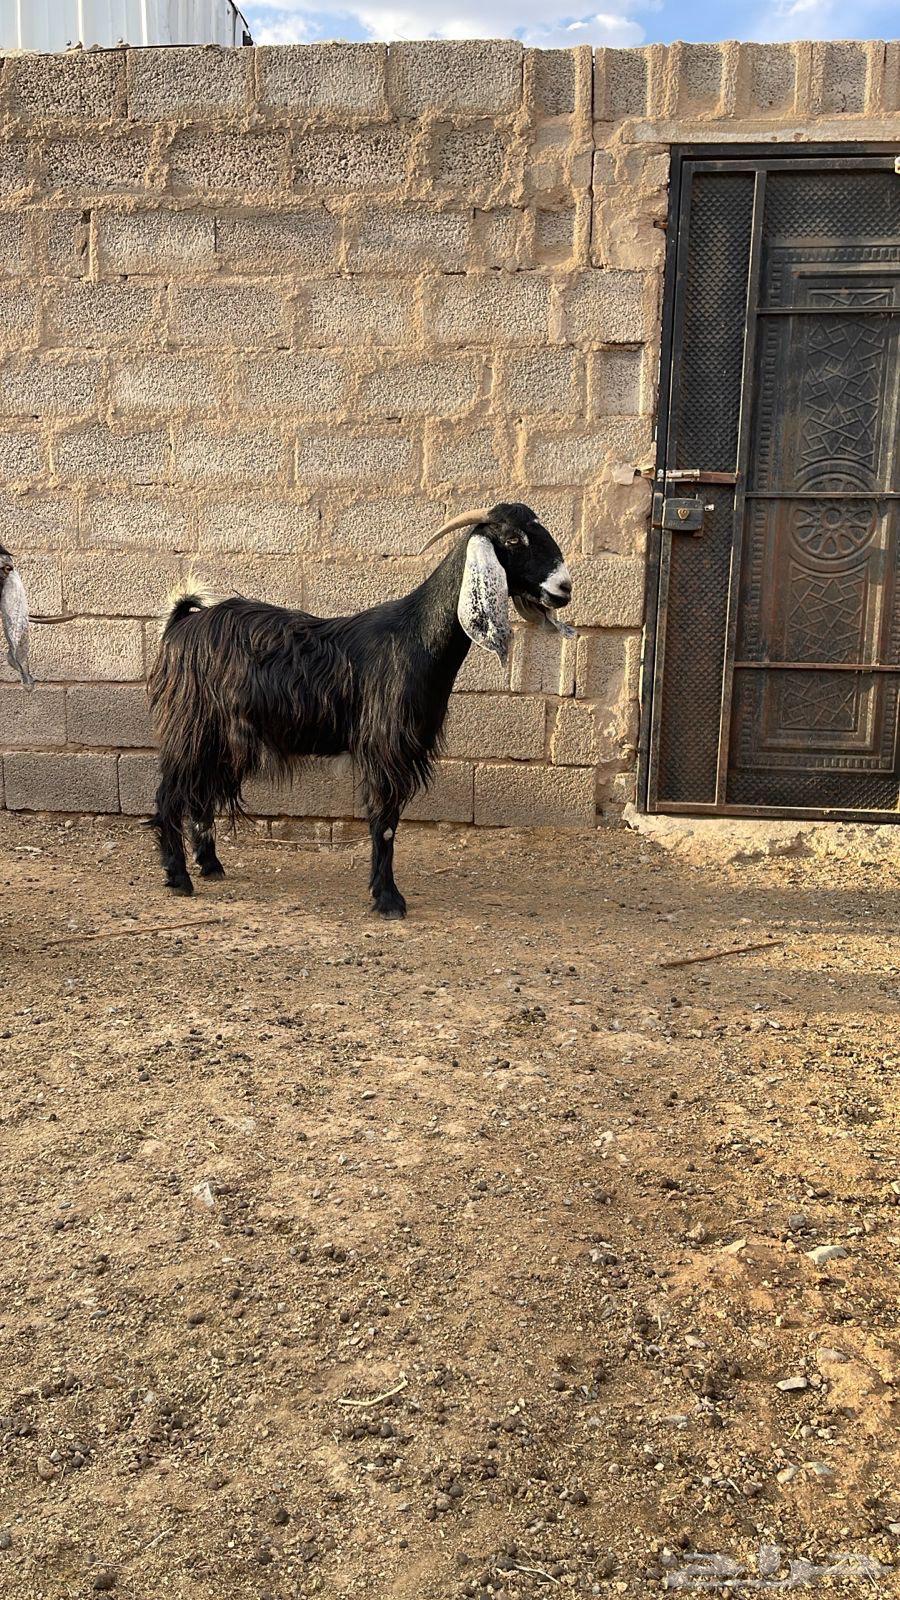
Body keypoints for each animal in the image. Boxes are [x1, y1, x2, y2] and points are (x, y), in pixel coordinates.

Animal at [147, 503, 573, 918]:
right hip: (191, 726)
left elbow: (389, 821)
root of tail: (181, 624)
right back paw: (179, 877)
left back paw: (211, 865)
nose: (564, 588)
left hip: (221, 738)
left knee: (201, 794)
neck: (416, 638)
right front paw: (388, 900)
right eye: (513, 539)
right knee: (170, 794)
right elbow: (385, 823)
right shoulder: (386, 746)